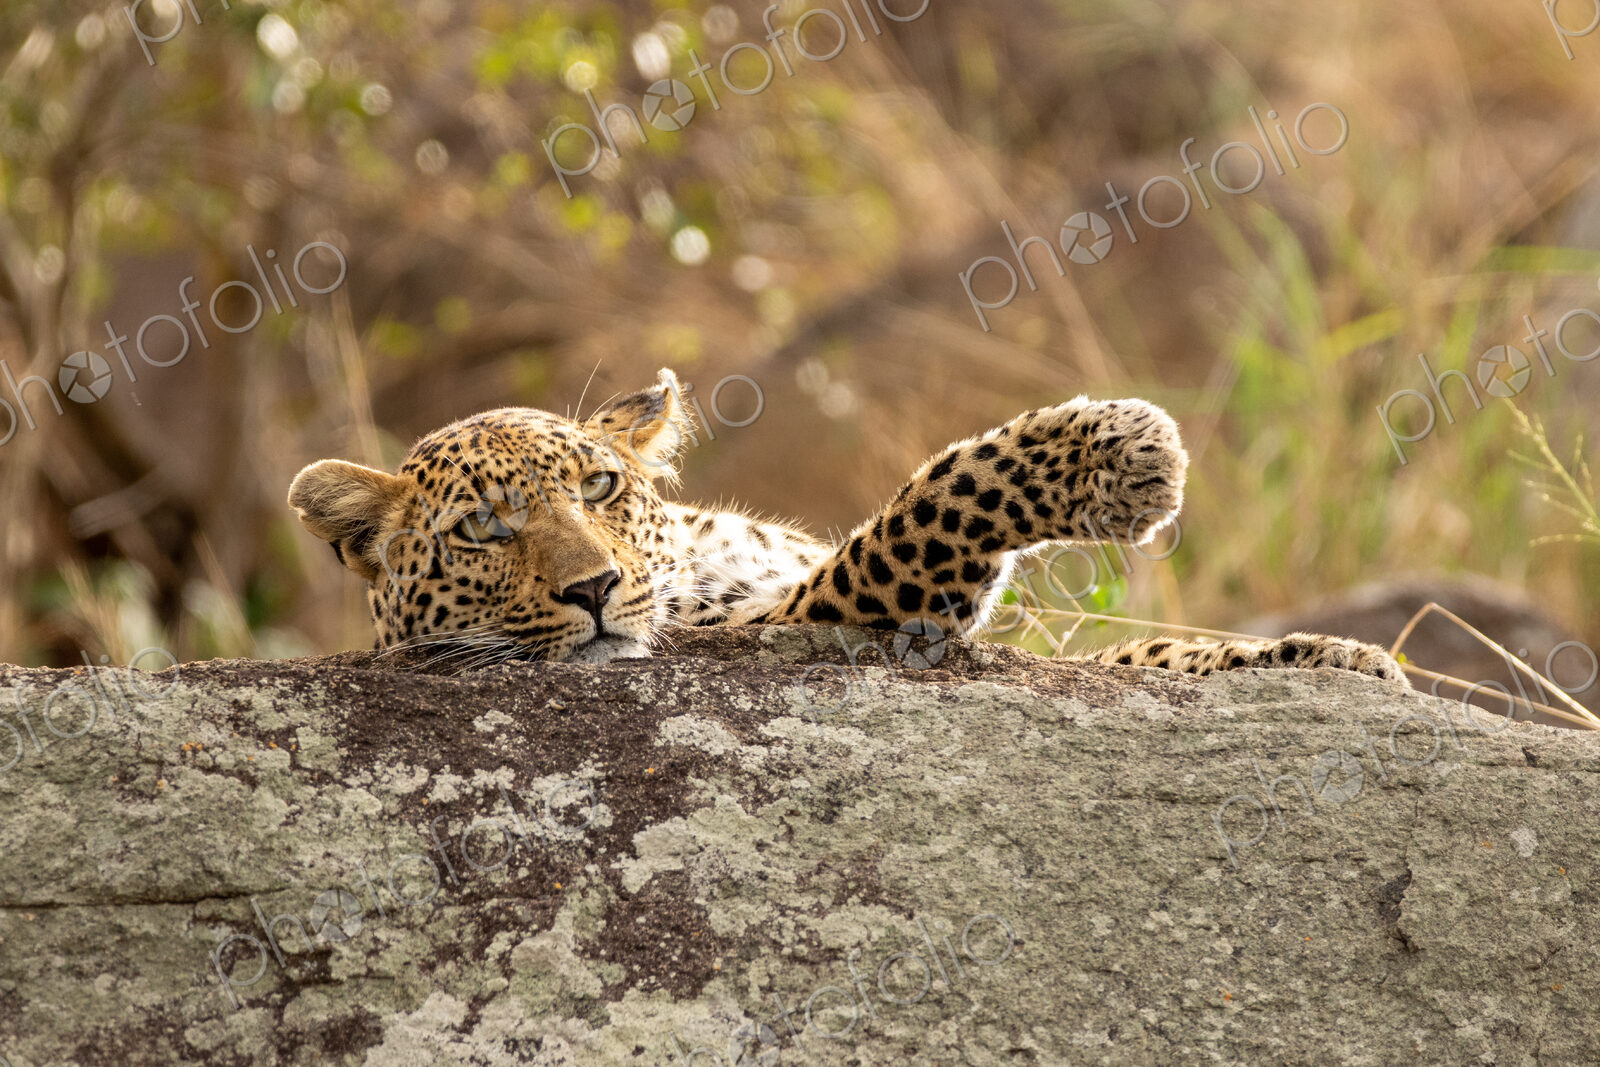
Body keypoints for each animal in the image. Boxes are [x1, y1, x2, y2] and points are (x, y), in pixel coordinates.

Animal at [286, 367, 1408, 685]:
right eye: (482, 530)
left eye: (599, 487)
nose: (593, 588)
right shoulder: (824, 614)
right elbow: (936, 494)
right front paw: (1120, 449)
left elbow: (1138, 656)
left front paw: (1331, 655)